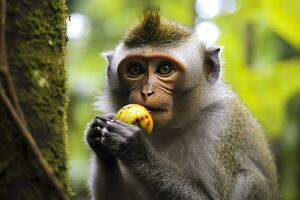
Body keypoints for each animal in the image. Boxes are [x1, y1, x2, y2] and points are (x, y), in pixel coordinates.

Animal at [84, 9, 276, 200]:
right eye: (135, 70)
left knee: (250, 179)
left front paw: (135, 147)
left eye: (165, 69)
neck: (173, 126)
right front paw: (97, 133)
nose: (146, 92)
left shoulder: (217, 126)